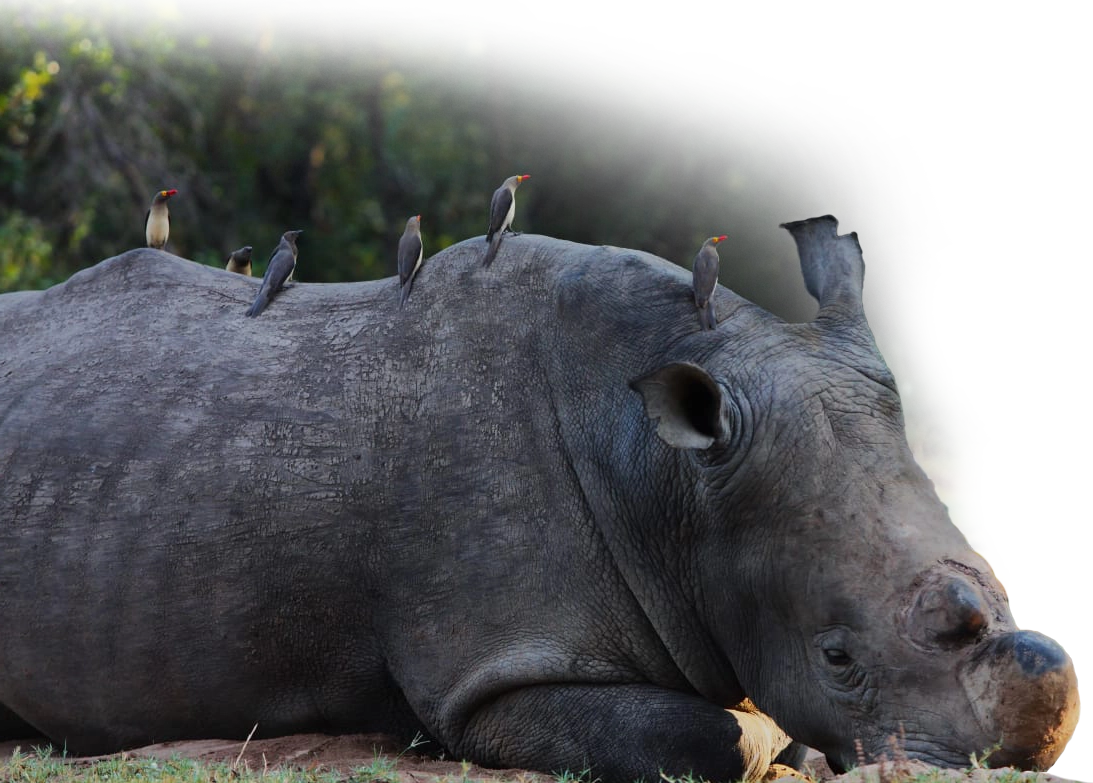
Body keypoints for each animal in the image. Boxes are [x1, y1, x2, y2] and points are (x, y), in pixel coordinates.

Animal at [0, 218, 1080, 781]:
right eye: (837, 658)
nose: (1012, 758)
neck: (668, 479)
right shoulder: (488, 676)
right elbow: (721, 734)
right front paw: (782, 743)